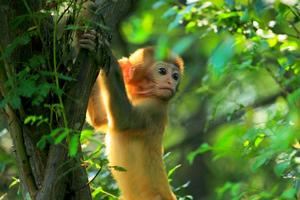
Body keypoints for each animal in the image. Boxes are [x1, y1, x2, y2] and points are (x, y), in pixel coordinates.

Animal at [79, 30, 183, 200]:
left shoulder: (155, 107)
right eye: (163, 72)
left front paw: (105, 56)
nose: (171, 82)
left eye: (175, 76)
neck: (141, 95)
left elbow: (124, 120)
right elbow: (99, 120)